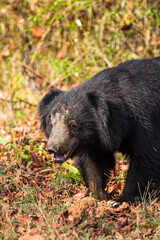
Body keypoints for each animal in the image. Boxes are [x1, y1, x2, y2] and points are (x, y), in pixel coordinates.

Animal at [38, 57, 160, 202]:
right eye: (51, 124)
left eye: (73, 125)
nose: (53, 148)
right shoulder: (92, 143)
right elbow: (93, 164)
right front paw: (95, 197)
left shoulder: (145, 122)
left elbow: (145, 156)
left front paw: (121, 200)